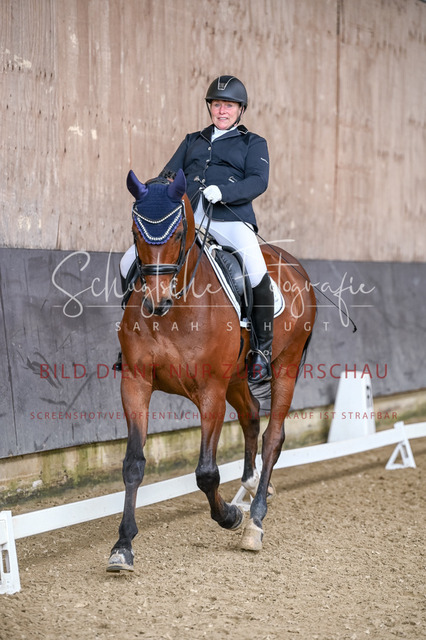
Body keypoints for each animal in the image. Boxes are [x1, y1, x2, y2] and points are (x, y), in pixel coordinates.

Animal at [107, 168, 316, 571]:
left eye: (177, 233)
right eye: (135, 232)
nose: (156, 301)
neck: (178, 309)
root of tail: (294, 265)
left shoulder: (211, 391)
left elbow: (206, 473)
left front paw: (230, 517)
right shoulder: (135, 383)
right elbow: (133, 464)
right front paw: (122, 547)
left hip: (285, 366)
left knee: (272, 437)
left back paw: (254, 521)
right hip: (238, 378)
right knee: (251, 415)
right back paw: (249, 486)